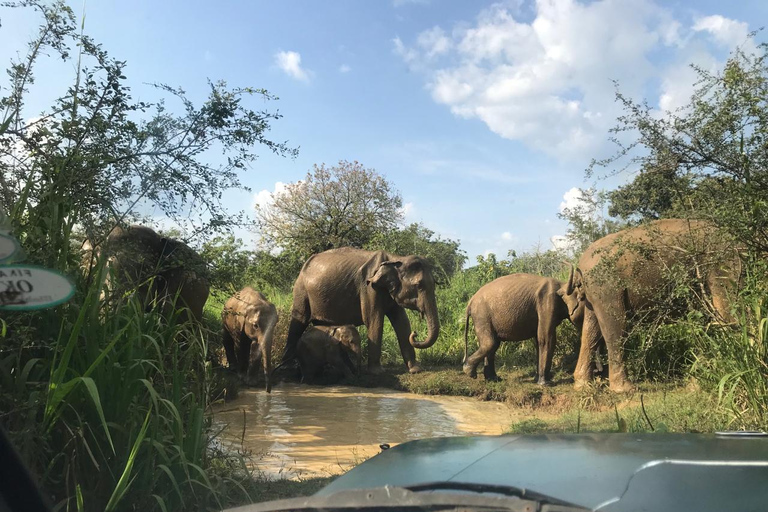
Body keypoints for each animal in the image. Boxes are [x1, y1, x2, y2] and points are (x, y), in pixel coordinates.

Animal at [280, 246, 438, 374]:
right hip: (301, 290)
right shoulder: (368, 288)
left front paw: (416, 370)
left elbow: (402, 322)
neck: (395, 259)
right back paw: (287, 367)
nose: (416, 333)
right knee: (299, 321)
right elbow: (374, 320)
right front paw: (377, 372)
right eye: (419, 285)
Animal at [572, 219, 740, 392]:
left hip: (595, 293)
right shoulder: (720, 259)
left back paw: (583, 385)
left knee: (591, 329)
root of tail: (581, 264)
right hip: (607, 287)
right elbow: (725, 310)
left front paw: (697, 381)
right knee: (616, 328)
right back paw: (625, 389)